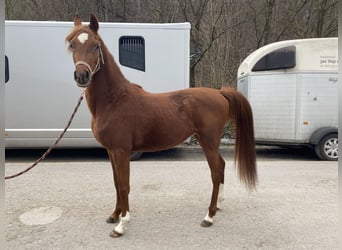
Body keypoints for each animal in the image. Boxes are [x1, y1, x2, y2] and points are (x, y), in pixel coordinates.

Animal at [66, 14, 256, 238]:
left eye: (96, 46)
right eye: (72, 45)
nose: (82, 76)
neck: (114, 101)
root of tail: (220, 93)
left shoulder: (121, 151)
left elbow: (124, 185)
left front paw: (121, 224)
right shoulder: (111, 151)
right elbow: (116, 182)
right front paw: (114, 215)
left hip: (209, 142)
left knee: (216, 172)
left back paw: (209, 216)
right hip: (209, 142)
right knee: (223, 166)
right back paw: (218, 205)